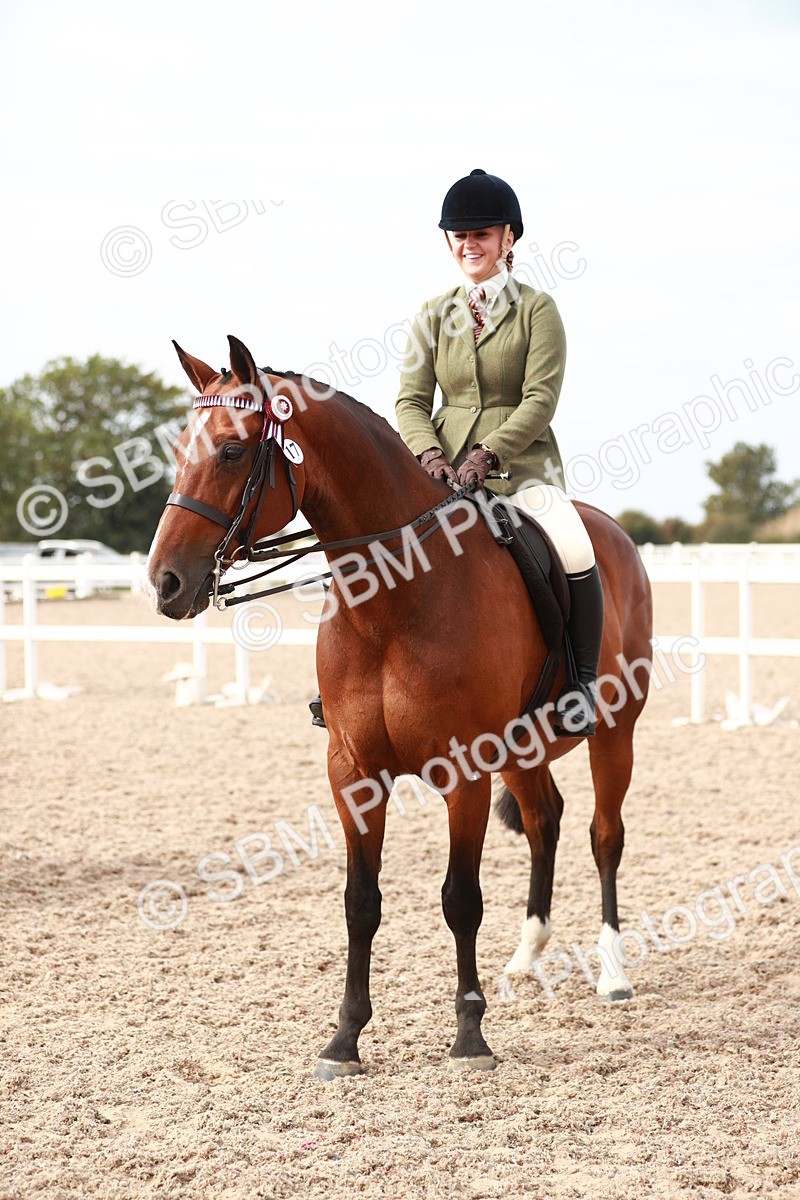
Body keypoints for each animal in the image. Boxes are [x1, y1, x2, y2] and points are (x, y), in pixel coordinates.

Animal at [146, 334, 654, 1079]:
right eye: (182, 447)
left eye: (233, 451)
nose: (166, 583)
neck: (393, 600)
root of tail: (614, 532)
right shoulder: (353, 773)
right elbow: (361, 903)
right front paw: (344, 1039)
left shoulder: (465, 770)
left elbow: (460, 899)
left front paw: (470, 1037)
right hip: (522, 750)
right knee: (545, 822)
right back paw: (527, 957)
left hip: (614, 731)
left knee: (603, 835)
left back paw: (613, 972)